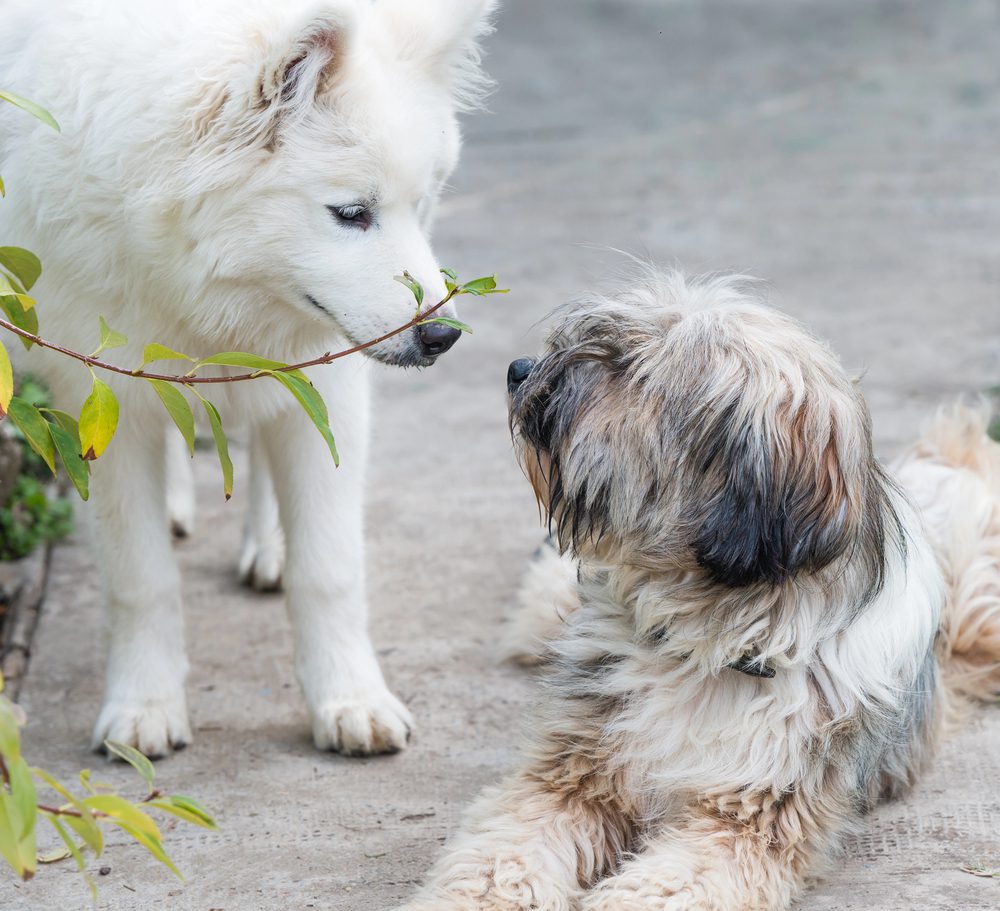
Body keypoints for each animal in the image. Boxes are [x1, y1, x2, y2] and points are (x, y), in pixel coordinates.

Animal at [0, 0, 496, 760]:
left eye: (423, 203)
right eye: (351, 214)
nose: (443, 337)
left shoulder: (327, 383)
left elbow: (329, 568)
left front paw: (350, 699)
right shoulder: (107, 400)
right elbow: (139, 577)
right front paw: (144, 706)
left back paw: (269, 546)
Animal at [398, 274, 1000, 911]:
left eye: (626, 369)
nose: (518, 369)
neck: (705, 638)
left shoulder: (747, 820)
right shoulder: (568, 778)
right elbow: (499, 857)